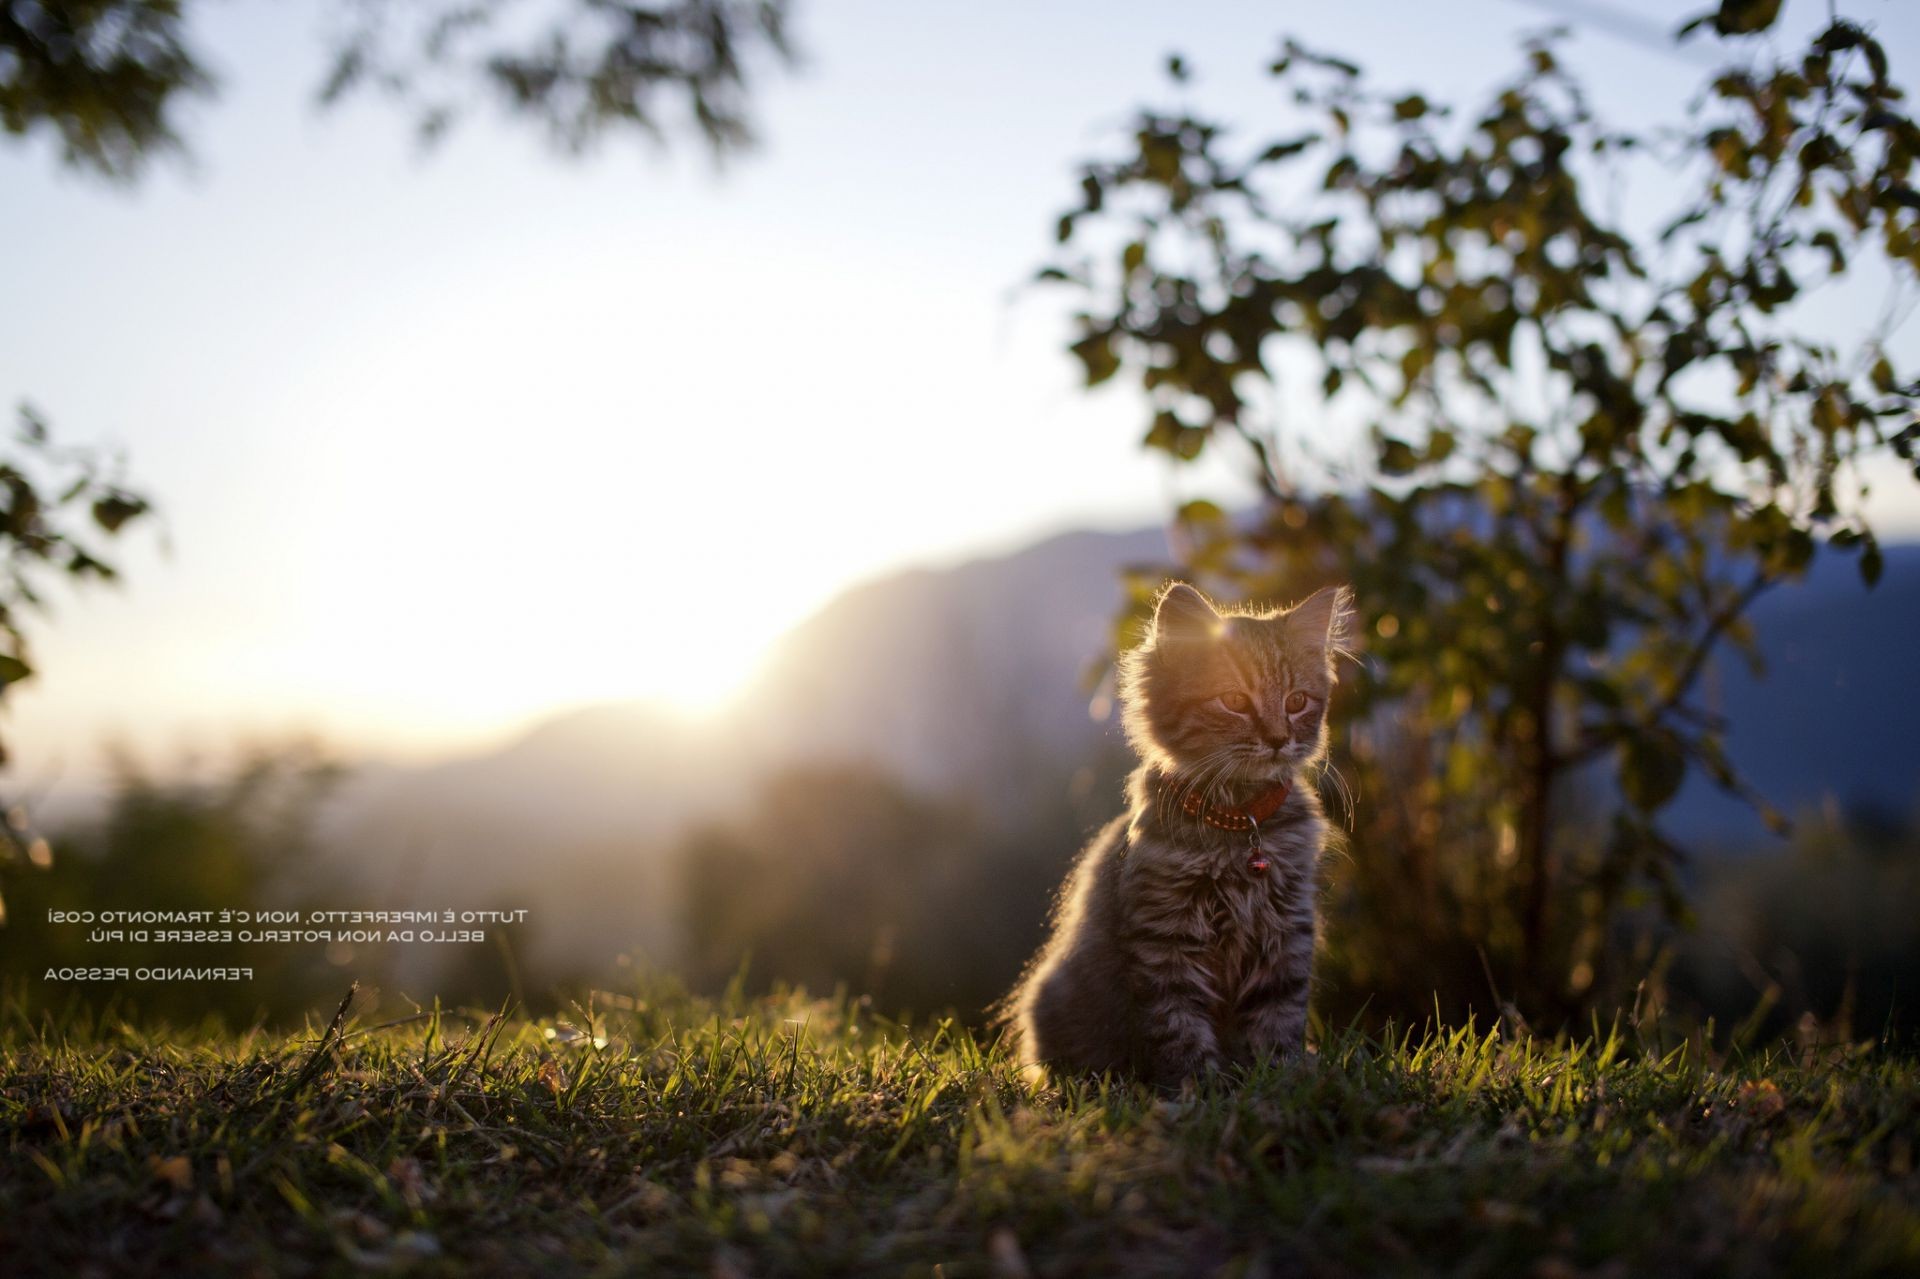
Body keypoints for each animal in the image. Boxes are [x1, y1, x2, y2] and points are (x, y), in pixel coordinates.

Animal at [1006, 576, 1351, 1083]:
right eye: (1235, 701)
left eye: (1296, 703)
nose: (1277, 739)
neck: (1238, 822)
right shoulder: (1166, 934)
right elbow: (1178, 1024)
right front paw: (1199, 1086)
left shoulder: (1286, 927)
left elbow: (1278, 1015)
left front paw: (1279, 1077)